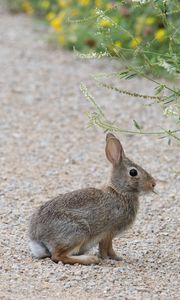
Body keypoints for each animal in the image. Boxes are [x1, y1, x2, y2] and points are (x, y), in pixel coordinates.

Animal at [28, 134, 155, 264]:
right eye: (133, 172)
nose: (153, 184)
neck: (120, 192)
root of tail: (37, 239)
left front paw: (117, 258)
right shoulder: (108, 232)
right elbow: (105, 248)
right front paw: (111, 259)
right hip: (78, 231)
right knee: (57, 256)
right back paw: (90, 259)